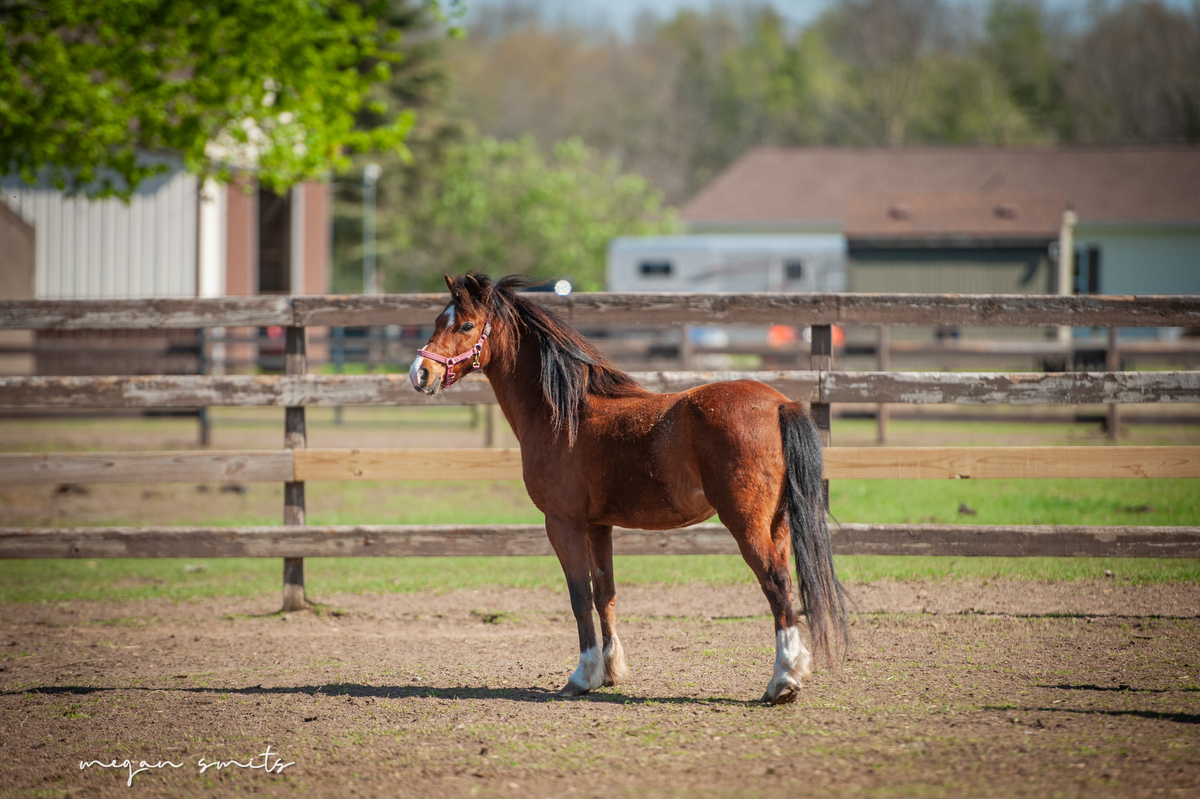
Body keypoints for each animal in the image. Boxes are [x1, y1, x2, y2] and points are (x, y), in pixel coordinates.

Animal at [408, 273, 847, 705]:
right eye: (438, 320)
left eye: (466, 325)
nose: (420, 373)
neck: (565, 413)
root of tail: (779, 405)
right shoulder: (597, 526)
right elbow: (605, 593)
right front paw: (610, 671)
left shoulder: (563, 523)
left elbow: (579, 596)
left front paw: (582, 676)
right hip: (778, 524)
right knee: (786, 583)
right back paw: (796, 668)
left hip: (746, 524)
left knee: (775, 582)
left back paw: (782, 681)